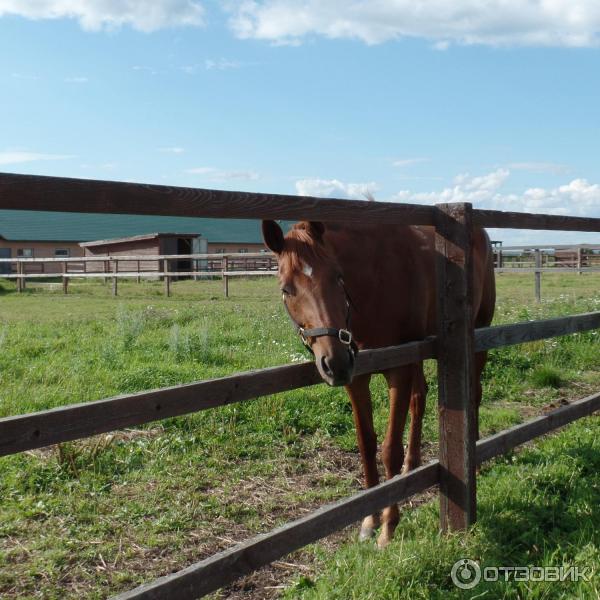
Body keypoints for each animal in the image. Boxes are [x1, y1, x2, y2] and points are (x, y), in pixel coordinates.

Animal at [262, 220, 496, 548]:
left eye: (338, 277)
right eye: (286, 289)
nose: (334, 362)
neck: (375, 278)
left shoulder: (397, 369)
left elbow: (389, 450)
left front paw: (388, 527)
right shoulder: (357, 375)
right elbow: (366, 444)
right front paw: (369, 520)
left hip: (479, 332)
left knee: (473, 395)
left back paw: (474, 458)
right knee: (420, 398)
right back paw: (412, 466)